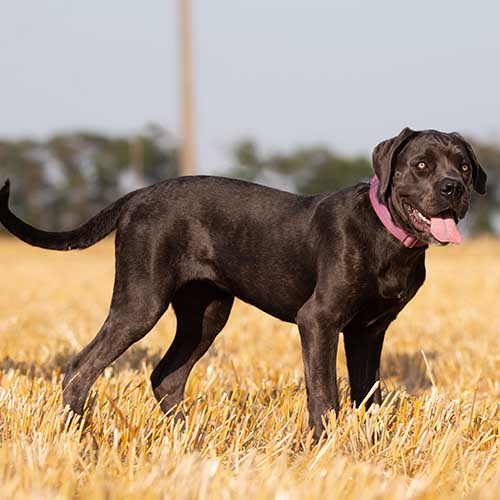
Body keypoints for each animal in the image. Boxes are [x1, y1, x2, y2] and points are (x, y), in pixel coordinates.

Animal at [0, 128, 486, 438]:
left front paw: (373, 452)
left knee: (166, 376)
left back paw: (187, 442)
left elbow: (370, 398)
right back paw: (75, 437)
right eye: (421, 164)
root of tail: (137, 195)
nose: (453, 188)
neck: (387, 234)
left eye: (464, 166)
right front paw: (327, 451)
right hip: (140, 302)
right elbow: (324, 394)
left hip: (206, 313)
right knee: (81, 366)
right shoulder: (319, 321)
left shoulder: (369, 331)